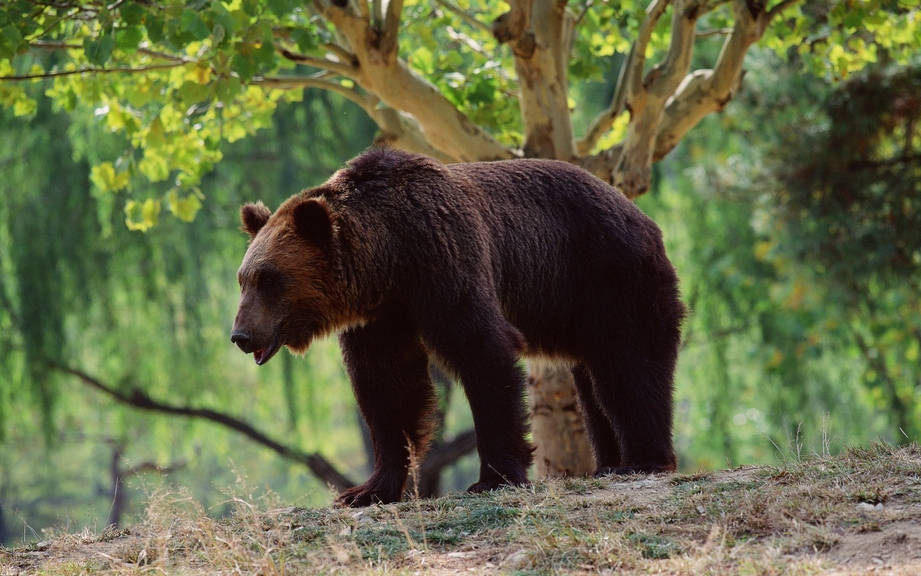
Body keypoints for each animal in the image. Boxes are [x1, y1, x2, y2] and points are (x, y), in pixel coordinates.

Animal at [232, 147, 684, 504]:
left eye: (269, 278)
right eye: (244, 278)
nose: (240, 335)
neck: (390, 257)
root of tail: (642, 216)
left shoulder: (445, 261)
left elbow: (483, 352)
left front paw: (494, 476)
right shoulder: (380, 316)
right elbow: (388, 388)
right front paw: (366, 490)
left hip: (608, 275)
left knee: (629, 364)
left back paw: (642, 460)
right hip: (574, 310)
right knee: (593, 380)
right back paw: (607, 463)